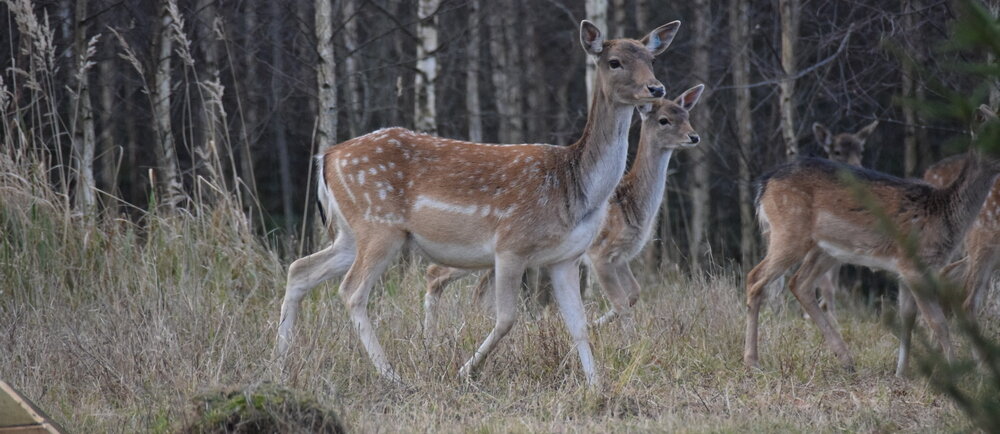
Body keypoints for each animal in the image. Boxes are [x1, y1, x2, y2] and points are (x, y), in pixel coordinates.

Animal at [426, 85, 708, 336]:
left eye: (687, 116)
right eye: (664, 120)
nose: (694, 137)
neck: (633, 205)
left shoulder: (621, 256)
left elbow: (633, 294)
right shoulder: (601, 252)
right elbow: (621, 301)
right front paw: (627, 342)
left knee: (469, 288)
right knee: (439, 273)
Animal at [748, 142, 996, 372]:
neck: (945, 216)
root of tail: (763, 185)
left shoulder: (906, 270)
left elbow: (908, 317)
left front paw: (901, 372)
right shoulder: (914, 265)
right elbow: (938, 322)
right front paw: (955, 371)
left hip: (827, 249)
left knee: (799, 283)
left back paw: (846, 359)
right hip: (790, 232)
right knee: (755, 278)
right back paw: (752, 360)